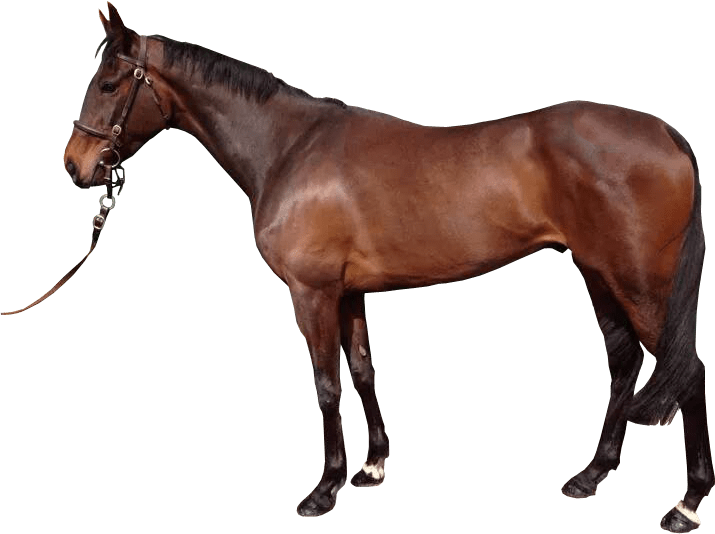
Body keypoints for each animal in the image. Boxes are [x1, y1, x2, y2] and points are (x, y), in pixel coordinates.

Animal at [61, 4, 712, 531]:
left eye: (110, 82)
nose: (75, 165)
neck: (289, 148)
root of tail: (665, 131)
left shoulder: (311, 293)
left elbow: (325, 385)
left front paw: (323, 489)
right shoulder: (350, 293)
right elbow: (363, 371)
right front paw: (372, 466)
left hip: (639, 283)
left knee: (688, 370)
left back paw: (685, 504)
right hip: (598, 274)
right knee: (624, 364)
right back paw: (592, 474)